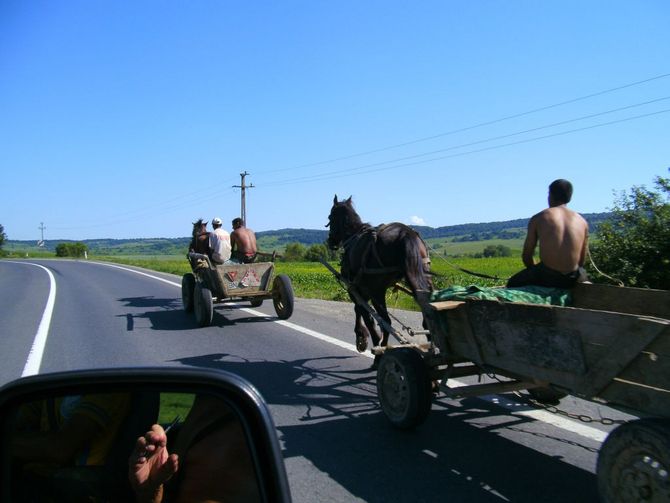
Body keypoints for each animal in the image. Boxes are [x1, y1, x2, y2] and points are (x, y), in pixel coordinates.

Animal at [326, 195, 434, 356]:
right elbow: (363, 312)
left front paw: (362, 337)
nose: (330, 241)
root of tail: (405, 233)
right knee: (427, 317)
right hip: (422, 278)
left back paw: (381, 351)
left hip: (377, 291)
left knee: (385, 321)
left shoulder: (356, 289)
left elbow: (362, 312)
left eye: (330, 217)